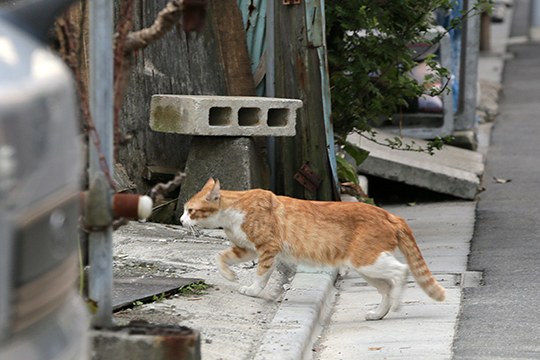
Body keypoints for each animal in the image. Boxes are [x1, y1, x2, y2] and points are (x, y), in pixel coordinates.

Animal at [179, 179, 446, 320]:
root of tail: (390, 214)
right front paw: (230, 275)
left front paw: (253, 290)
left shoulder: (267, 249)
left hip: (367, 261)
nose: (181, 221)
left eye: (190, 211)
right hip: (367, 268)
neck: (233, 212)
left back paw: (398, 304)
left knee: (401, 272)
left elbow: (261, 275)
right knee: (387, 287)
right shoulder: (247, 250)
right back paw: (379, 313)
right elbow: (220, 256)